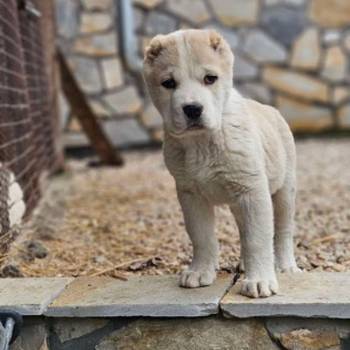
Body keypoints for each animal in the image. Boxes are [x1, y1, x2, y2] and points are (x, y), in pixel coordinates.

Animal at [142, 29, 298, 298]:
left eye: (210, 79)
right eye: (168, 83)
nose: (192, 109)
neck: (202, 143)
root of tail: (271, 109)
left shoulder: (252, 191)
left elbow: (258, 239)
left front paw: (260, 280)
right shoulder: (190, 195)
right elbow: (201, 236)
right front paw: (200, 271)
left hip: (284, 191)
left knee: (283, 230)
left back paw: (285, 265)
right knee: (246, 231)